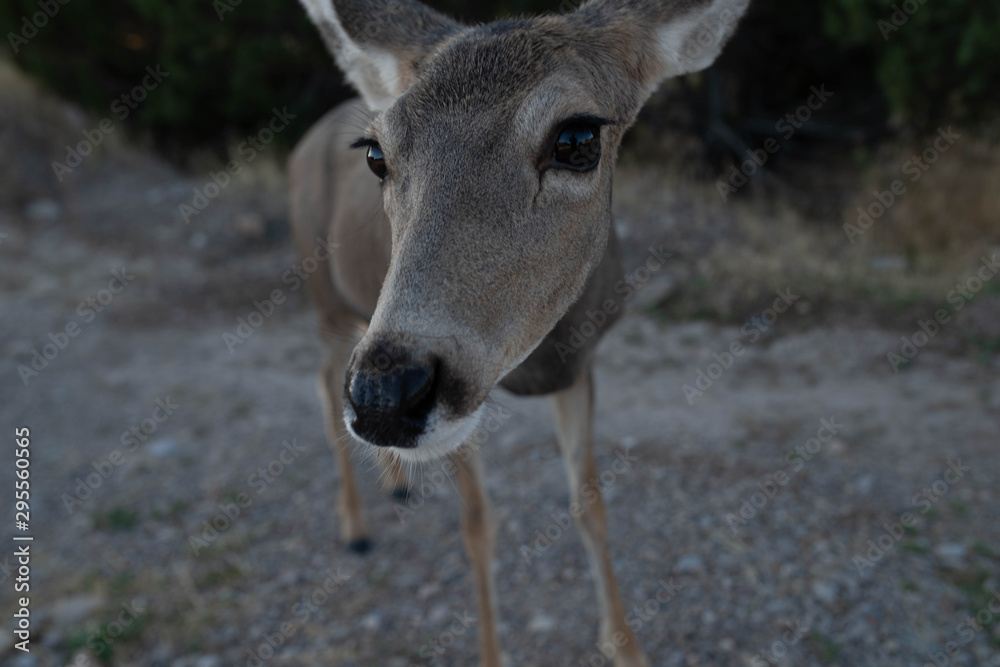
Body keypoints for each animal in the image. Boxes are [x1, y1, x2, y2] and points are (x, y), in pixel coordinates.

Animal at [286, 1, 748, 664]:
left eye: (577, 139)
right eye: (376, 154)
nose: (384, 397)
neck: (536, 359)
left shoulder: (580, 367)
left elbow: (590, 504)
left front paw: (626, 646)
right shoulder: (463, 402)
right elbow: (479, 524)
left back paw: (395, 483)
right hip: (323, 295)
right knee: (324, 383)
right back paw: (354, 526)